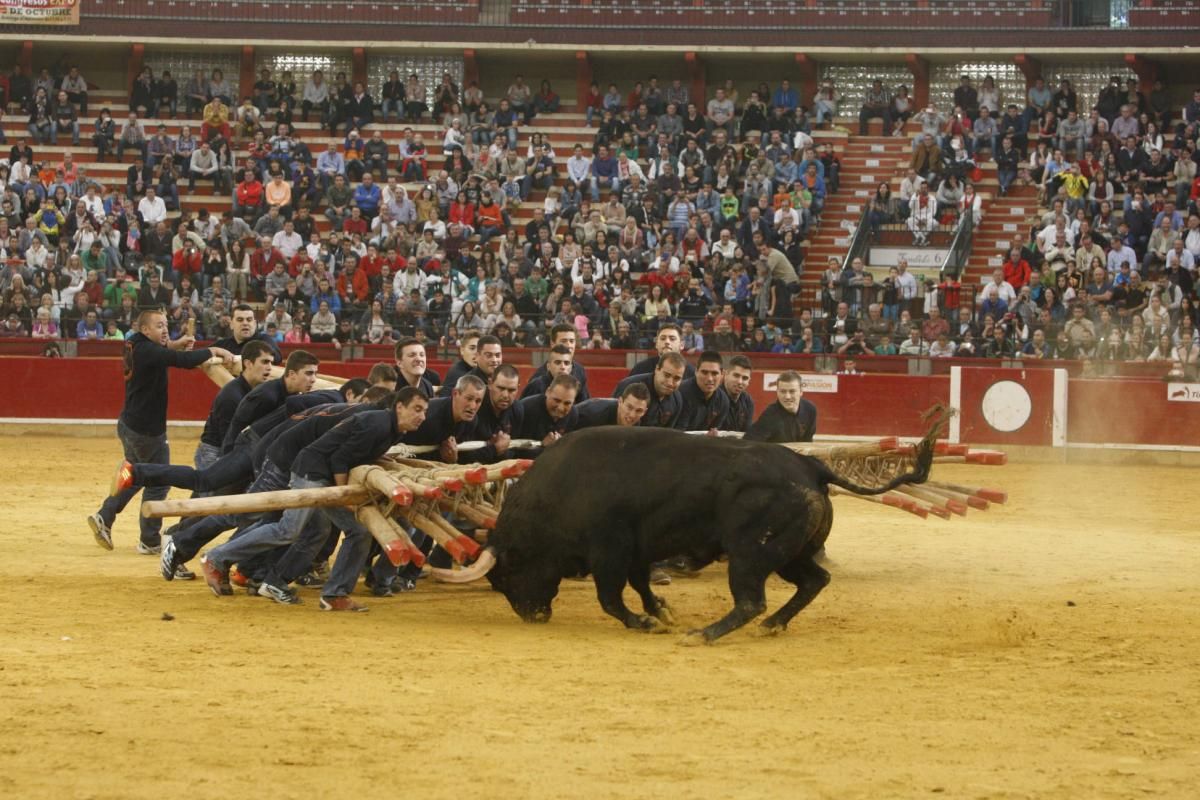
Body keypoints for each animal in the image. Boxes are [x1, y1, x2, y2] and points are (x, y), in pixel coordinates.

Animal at [451, 424, 936, 642]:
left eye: (506, 576)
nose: (533, 616)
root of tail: (811, 466)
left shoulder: (609, 551)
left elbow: (611, 598)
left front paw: (647, 622)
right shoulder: (636, 551)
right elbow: (641, 584)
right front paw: (662, 611)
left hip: (751, 555)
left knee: (751, 600)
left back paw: (706, 633)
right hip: (790, 554)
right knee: (814, 580)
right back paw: (773, 625)